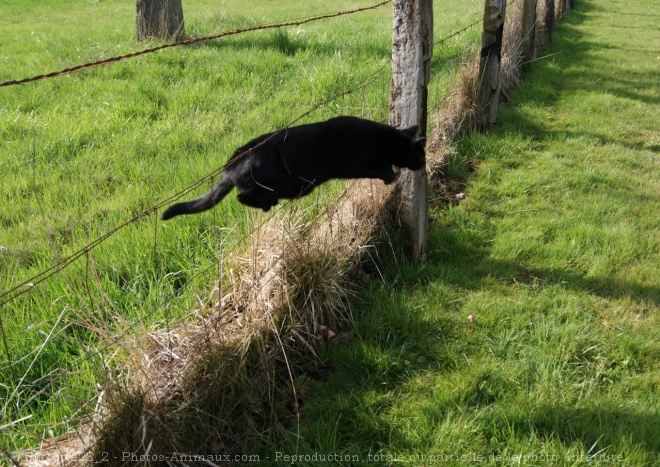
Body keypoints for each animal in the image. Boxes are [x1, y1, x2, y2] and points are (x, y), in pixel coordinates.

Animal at [162, 116, 426, 220]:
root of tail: (234, 162)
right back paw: (266, 203)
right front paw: (390, 176)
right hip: (290, 184)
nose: (424, 163)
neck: (383, 139)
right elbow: (381, 168)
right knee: (242, 196)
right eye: (420, 153)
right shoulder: (356, 163)